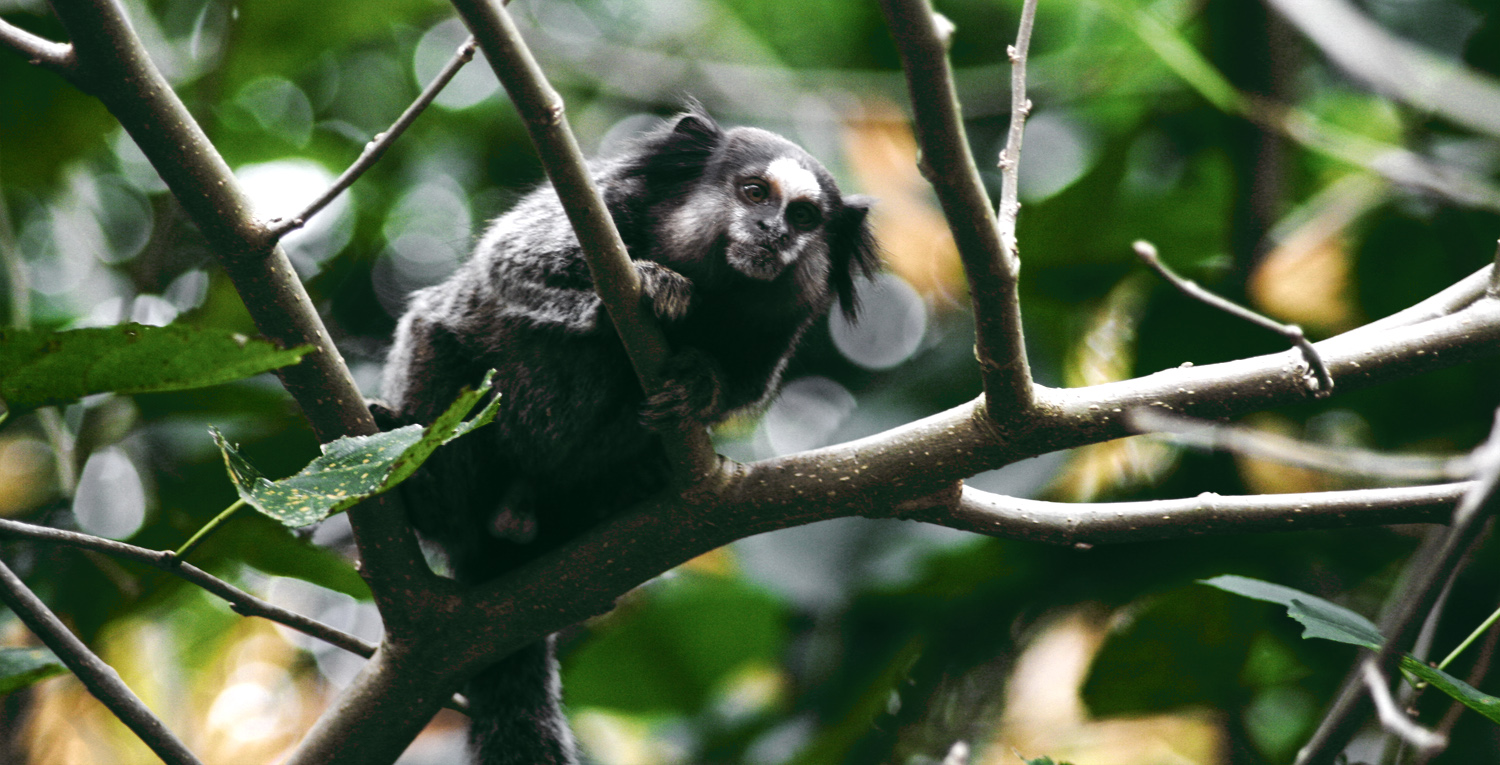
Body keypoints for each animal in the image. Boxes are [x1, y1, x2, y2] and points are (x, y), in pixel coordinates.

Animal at [373, 107, 876, 765]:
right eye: (754, 193)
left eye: (804, 218)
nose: (772, 231)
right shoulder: (600, 210)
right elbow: (510, 268)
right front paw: (645, 290)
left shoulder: (781, 323)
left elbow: (741, 387)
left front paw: (698, 381)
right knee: (438, 339)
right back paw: (431, 494)